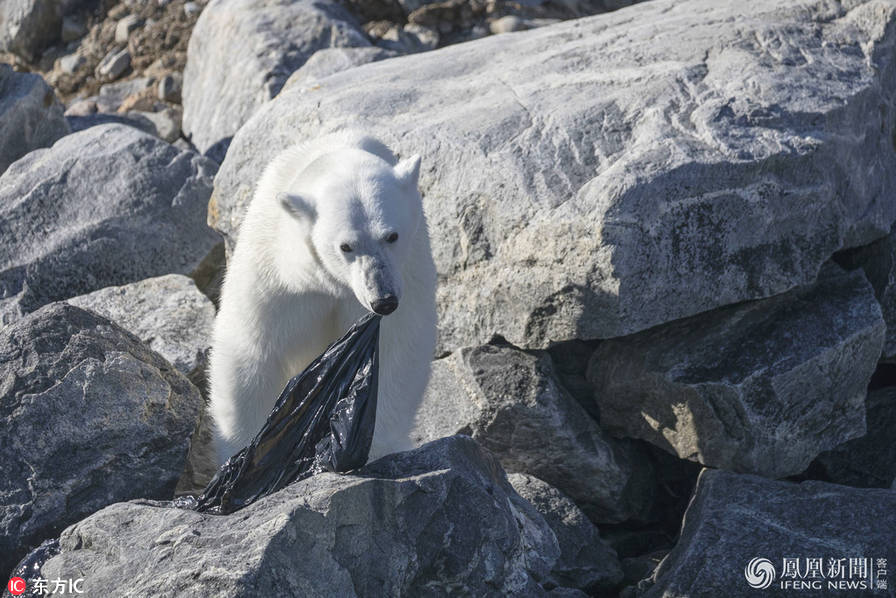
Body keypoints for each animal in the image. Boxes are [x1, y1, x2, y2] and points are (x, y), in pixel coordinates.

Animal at [207, 132, 438, 468]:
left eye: (391, 236)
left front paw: (374, 446)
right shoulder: (275, 277)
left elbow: (396, 349)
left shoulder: (409, 272)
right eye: (346, 246)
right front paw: (242, 453)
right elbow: (252, 352)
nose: (383, 300)